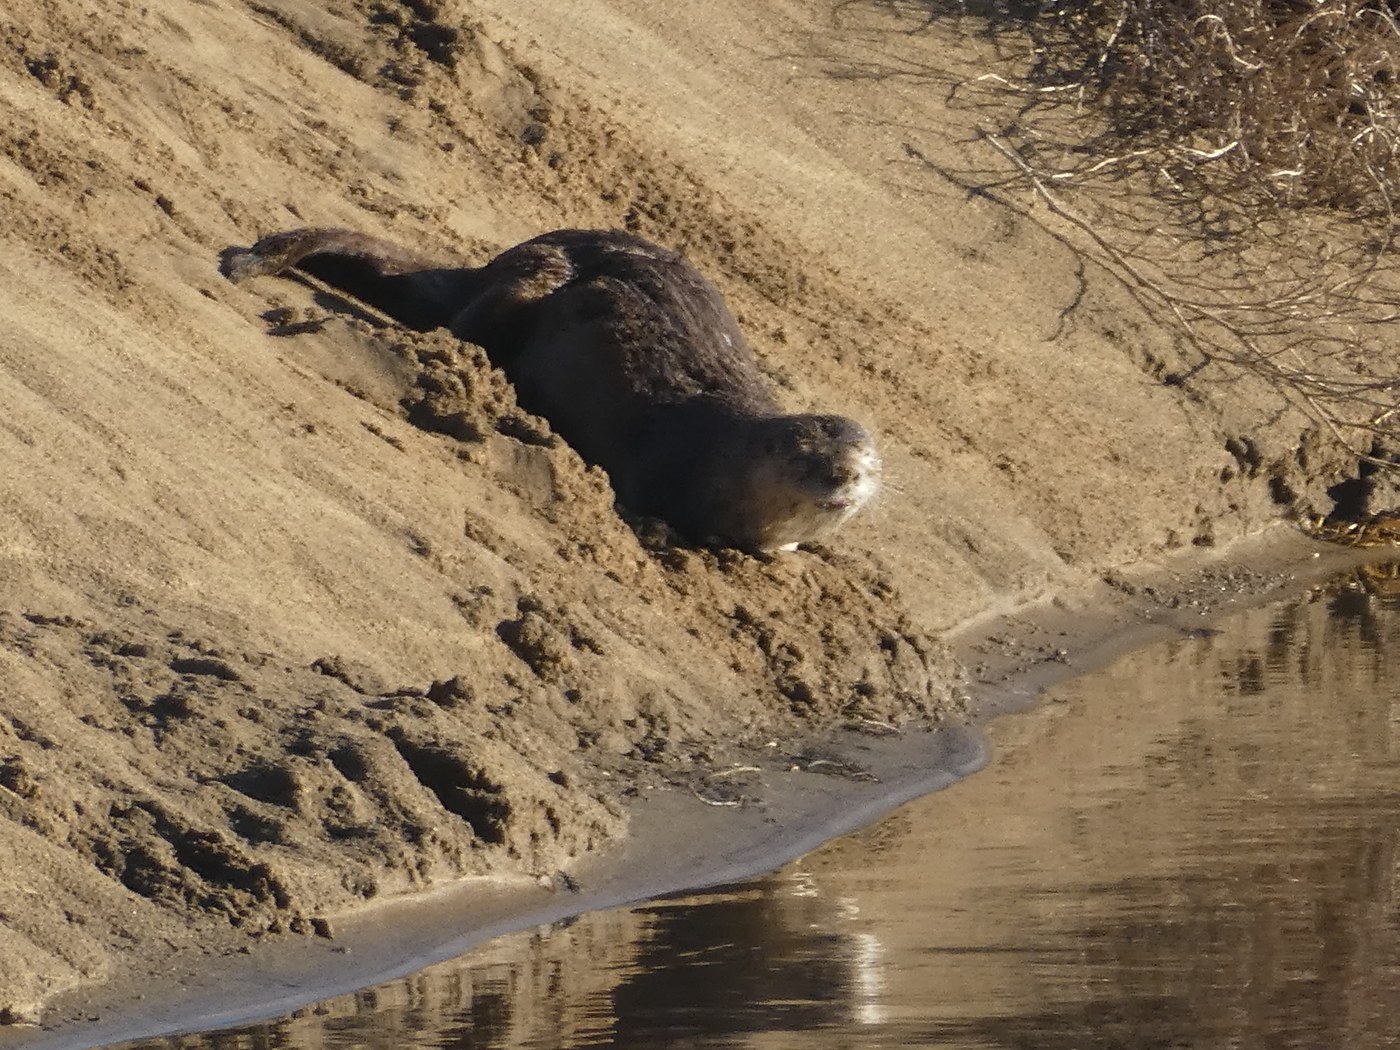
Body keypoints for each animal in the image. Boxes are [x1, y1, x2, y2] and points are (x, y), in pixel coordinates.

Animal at [224, 227, 880, 552]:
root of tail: (493, 263)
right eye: (805, 457)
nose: (843, 477)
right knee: (463, 325)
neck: (720, 455)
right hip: (527, 284)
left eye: (866, 464)